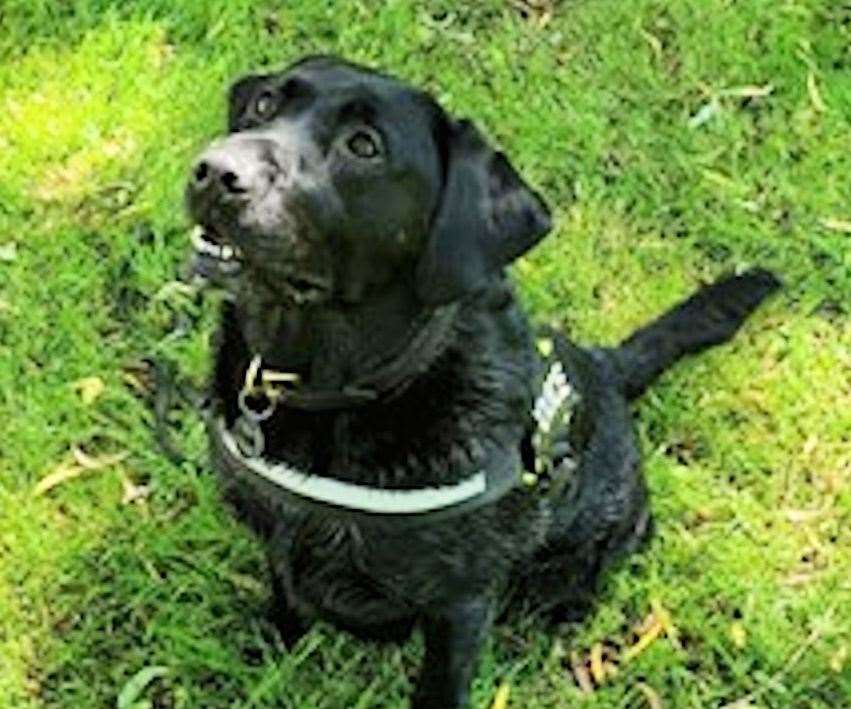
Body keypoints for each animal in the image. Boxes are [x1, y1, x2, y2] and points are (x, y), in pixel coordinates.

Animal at [185, 56, 780, 708]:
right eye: (264, 104)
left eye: (364, 146)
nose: (216, 172)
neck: (335, 390)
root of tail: (606, 364)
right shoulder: (279, 539)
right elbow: (284, 599)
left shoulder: (461, 605)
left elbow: (439, 686)